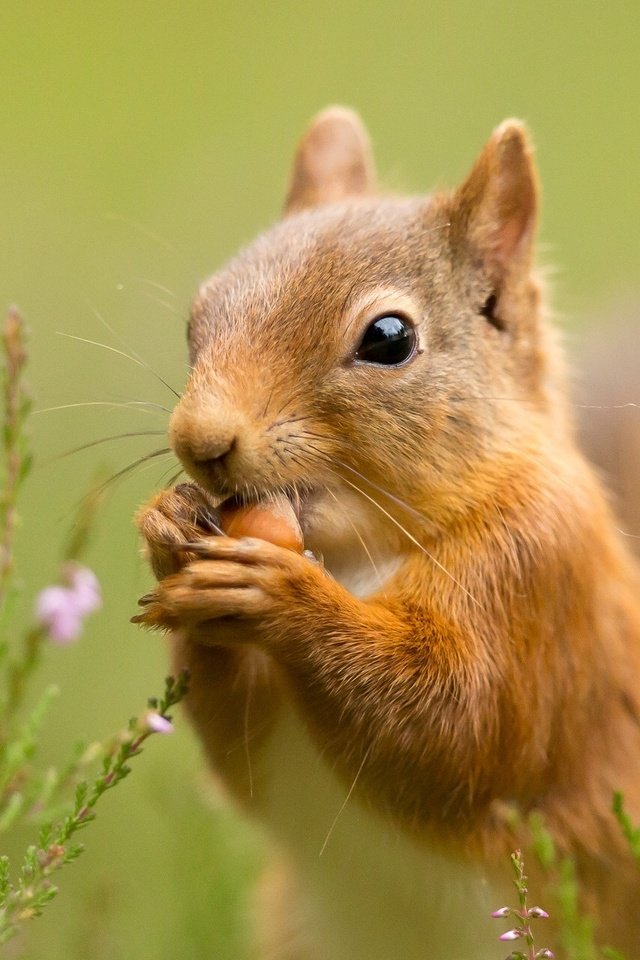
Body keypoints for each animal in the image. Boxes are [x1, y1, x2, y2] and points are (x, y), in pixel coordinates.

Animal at [134, 109, 640, 956]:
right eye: (197, 318)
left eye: (389, 339)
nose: (201, 442)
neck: (357, 555)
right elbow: (242, 755)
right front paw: (169, 530)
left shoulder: (537, 577)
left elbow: (454, 729)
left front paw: (282, 596)